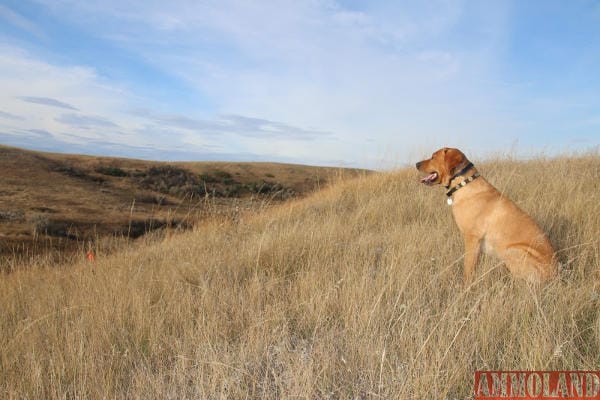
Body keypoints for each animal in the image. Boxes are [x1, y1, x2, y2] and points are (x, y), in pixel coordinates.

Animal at [414, 147, 560, 284]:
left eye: (433, 156)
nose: (416, 164)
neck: (463, 184)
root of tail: (556, 275)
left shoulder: (472, 238)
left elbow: (467, 270)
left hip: (513, 250)